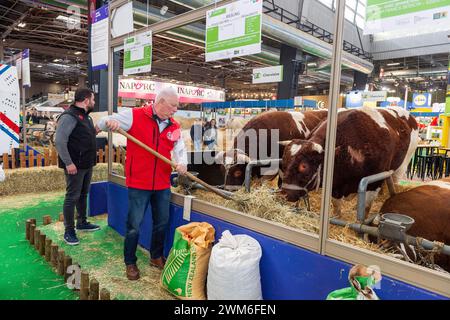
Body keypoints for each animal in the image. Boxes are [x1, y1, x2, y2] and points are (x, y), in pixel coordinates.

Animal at [282, 107, 418, 215]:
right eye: (284, 162)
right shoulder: (335, 185)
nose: (284, 193)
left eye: (304, 166)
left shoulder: (373, 183)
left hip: (402, 165)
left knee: (394, 181)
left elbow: (366, 209)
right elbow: (336, 205)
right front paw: (337, 217)